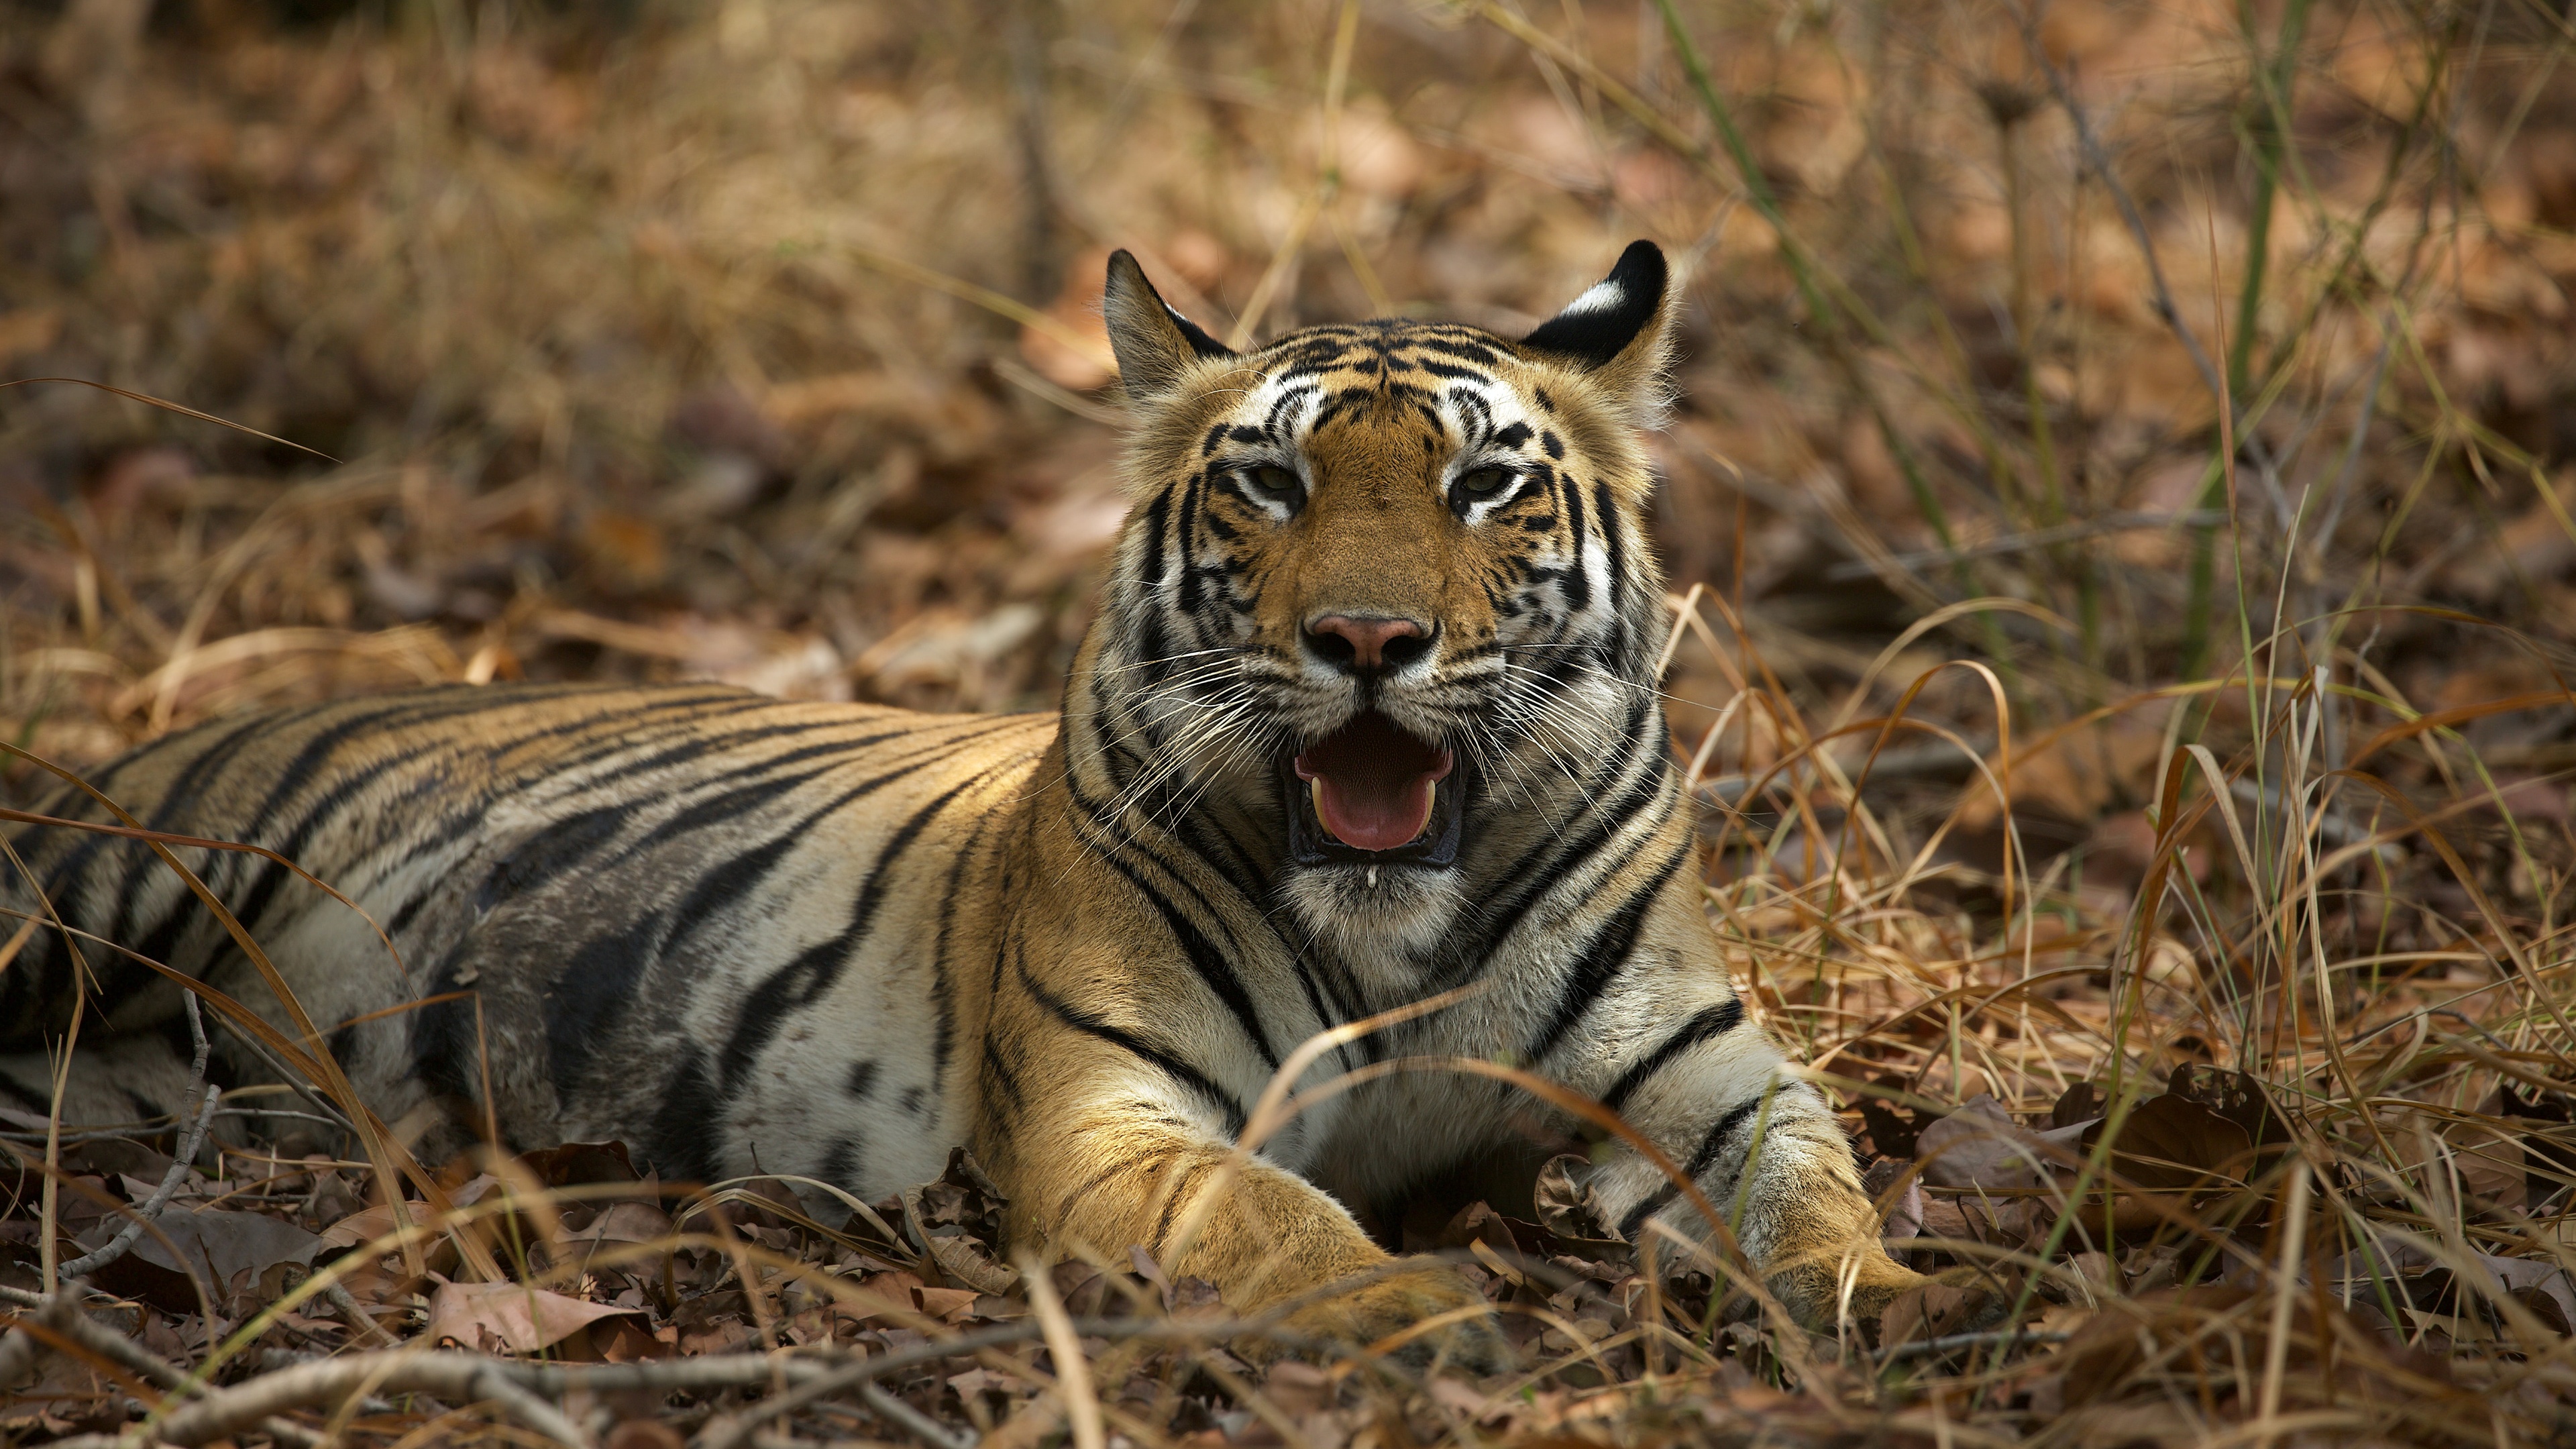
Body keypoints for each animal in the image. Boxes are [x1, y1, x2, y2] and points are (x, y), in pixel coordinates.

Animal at [5, 242, 1968, 1361]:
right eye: (1270, 480)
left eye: (1485, 483)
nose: (1365, 639)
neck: (1403, 941)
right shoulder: (1116, 1113)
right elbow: (1277, 1217)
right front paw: (1421, 1308)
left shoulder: (1710, 1077)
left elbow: (1812, 1200)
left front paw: (1916, 1311)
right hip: (86, 894)